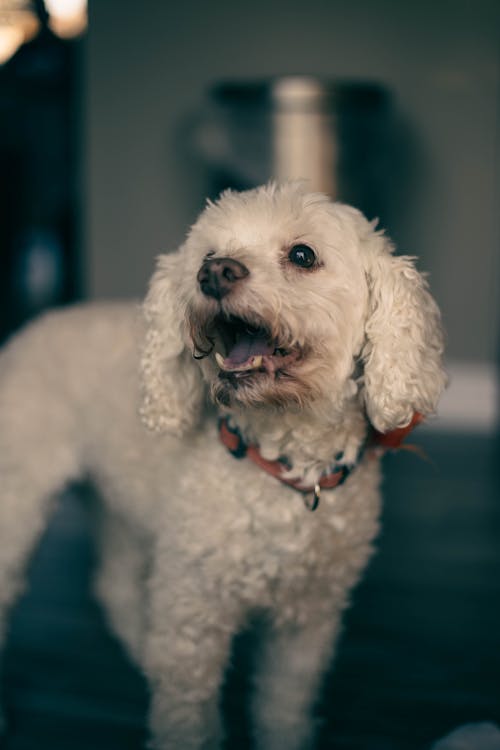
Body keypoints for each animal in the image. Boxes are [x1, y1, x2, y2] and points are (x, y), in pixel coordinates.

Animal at [0, 184, 446, 750]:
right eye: (207, 255)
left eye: (303, 255)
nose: (213, 273)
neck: (282, 465)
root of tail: (36, 324)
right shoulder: (193, 620)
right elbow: (187, 716)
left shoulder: (305, 627)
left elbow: (283, 709)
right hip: (18, 503)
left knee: (114, 581)